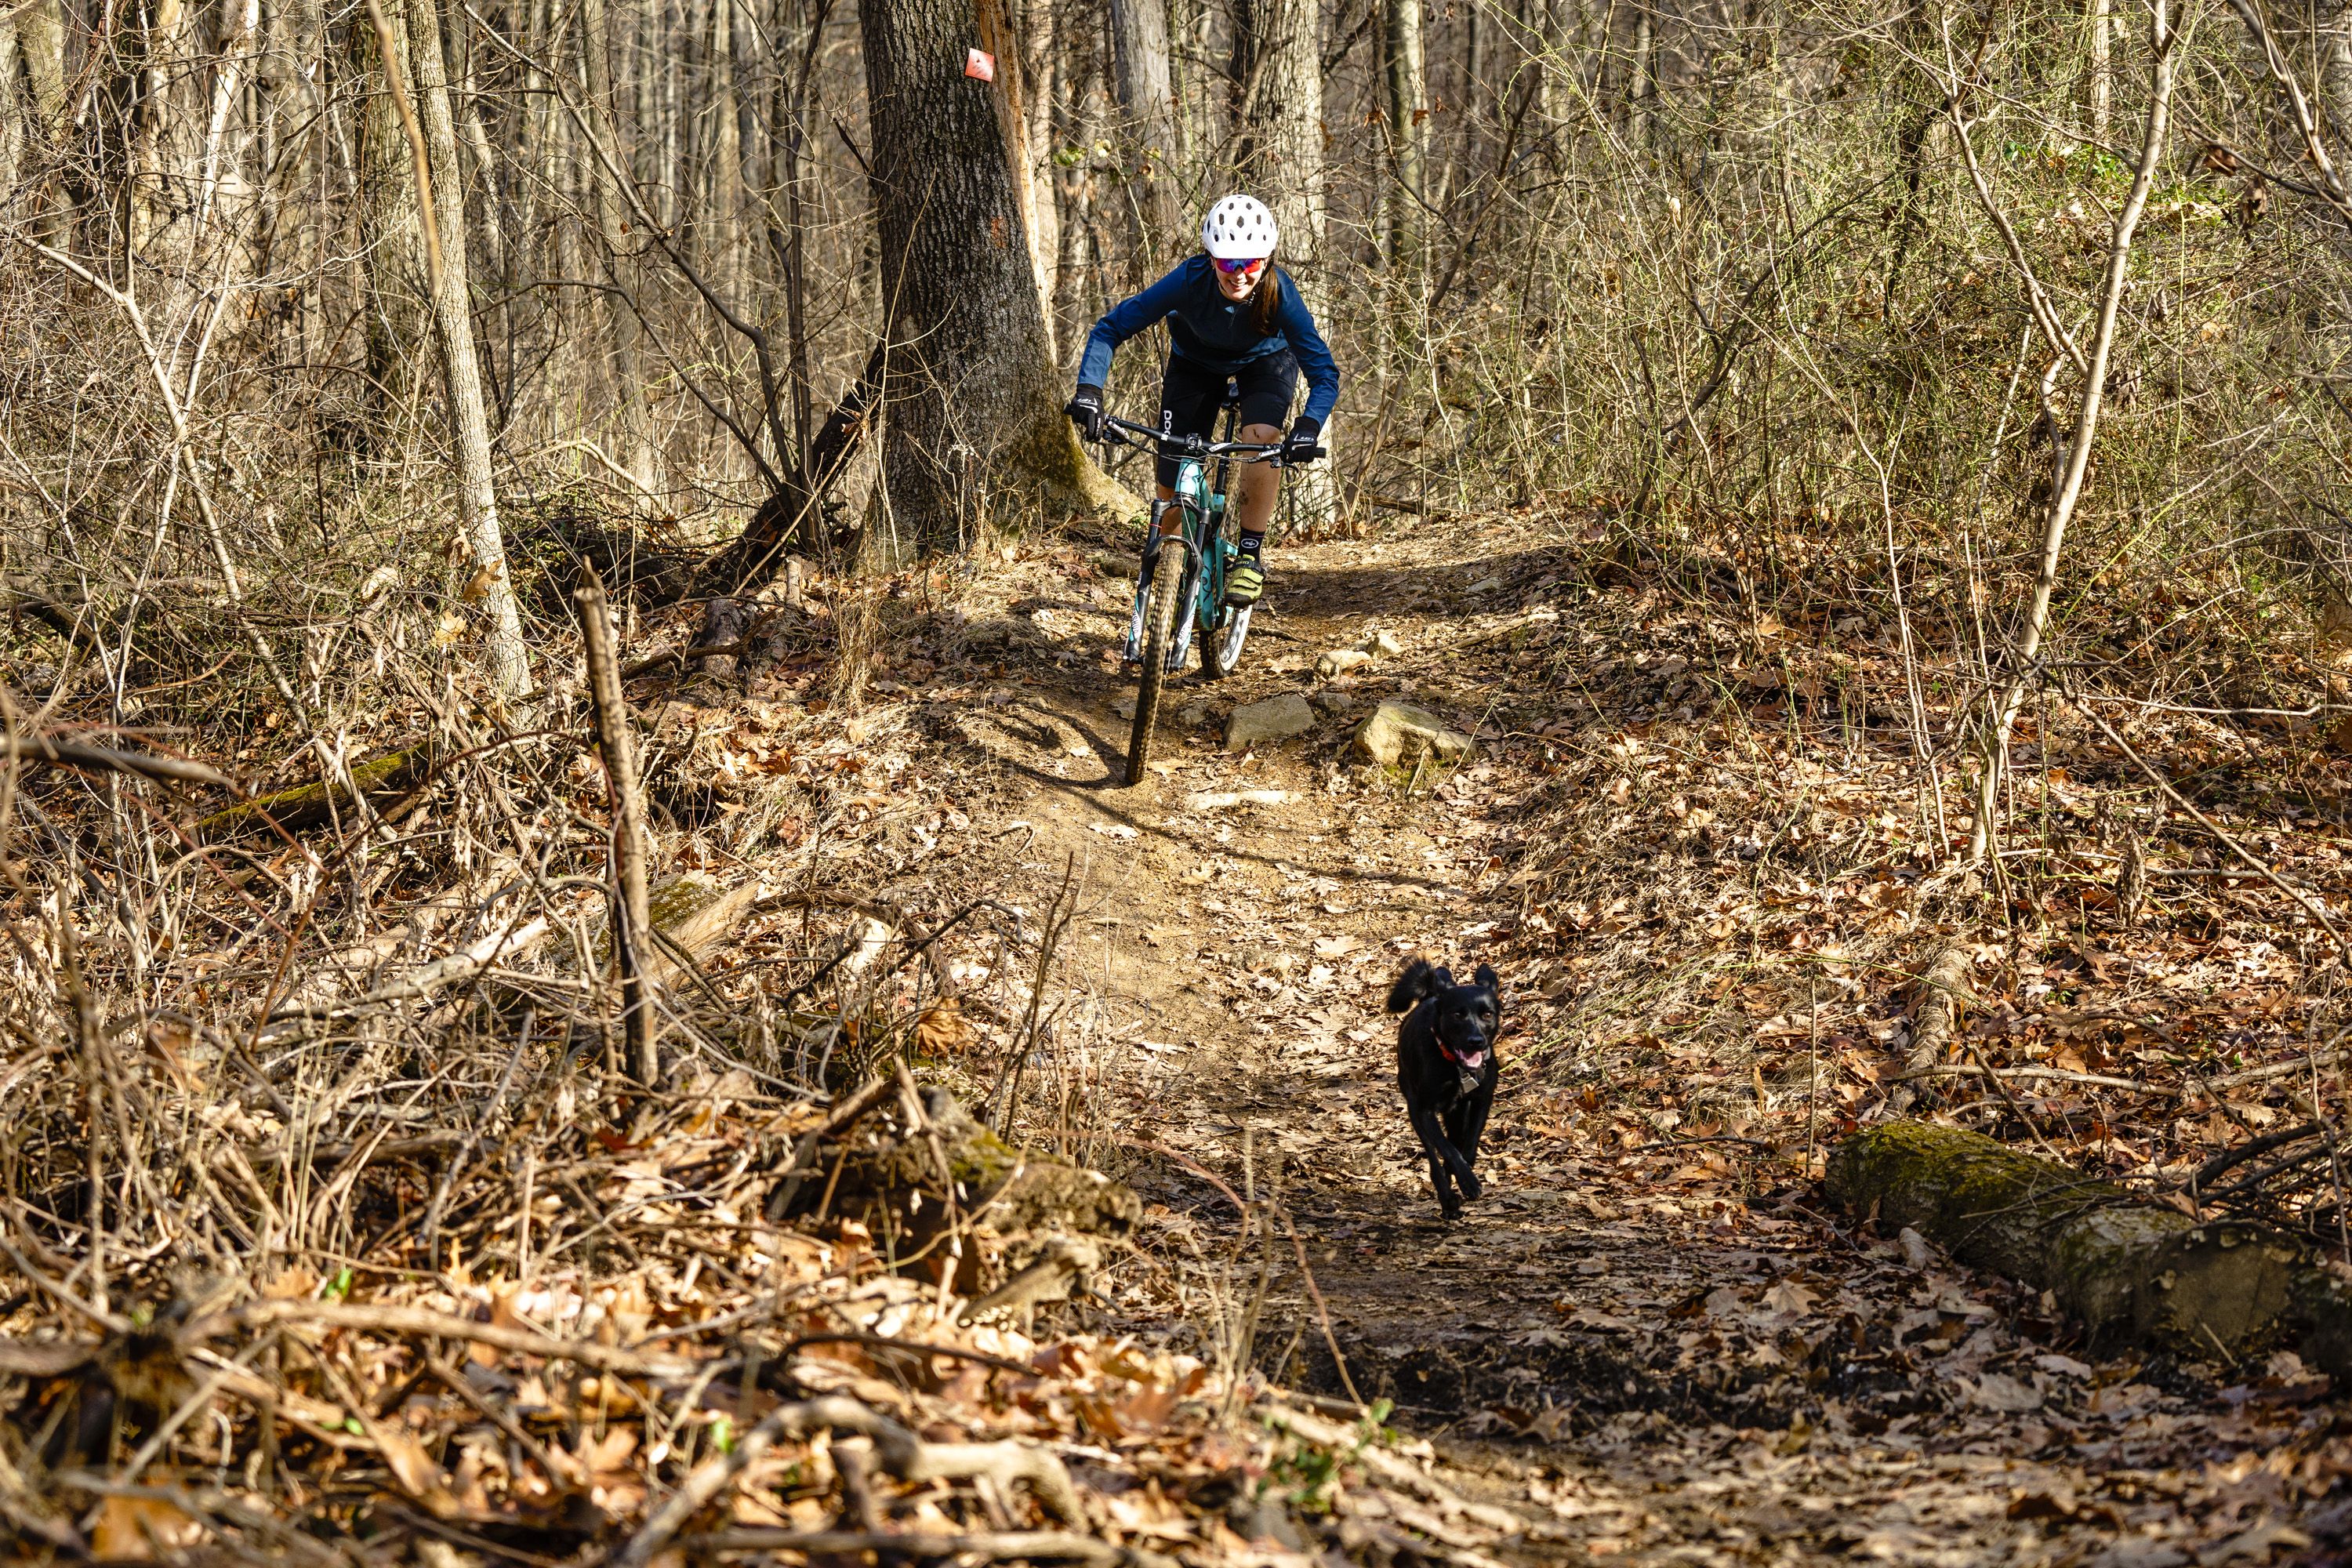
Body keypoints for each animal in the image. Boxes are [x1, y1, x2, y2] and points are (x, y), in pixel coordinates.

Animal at [1383, 959, 1496, 1222]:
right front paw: (1466, 1182)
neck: (1456, 1067)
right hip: (1414, 1108)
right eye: (1457, 1014)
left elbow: (1468, 1147)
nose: (1476, 1041)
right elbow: (1447, 1149)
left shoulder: (1482, 1100)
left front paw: (1464, 1171)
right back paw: (1447, 1198)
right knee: (1434, 1157)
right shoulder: (1425, 1111)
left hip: (1456, 1114)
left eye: (1487, 1014)